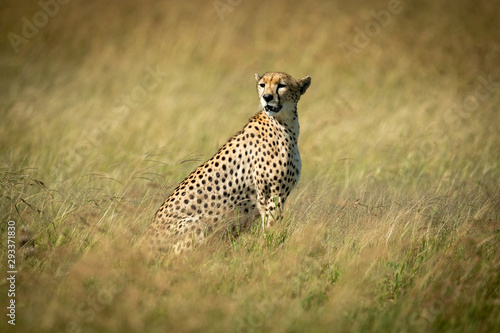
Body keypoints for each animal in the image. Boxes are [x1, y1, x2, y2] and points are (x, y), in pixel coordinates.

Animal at [148, 72, 310, 253]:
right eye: (262, 85)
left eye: (281, 85)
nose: (266, 97)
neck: (285, 122)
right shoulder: (270, 195)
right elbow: (271, 228)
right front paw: (269, 248)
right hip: (200, 223)